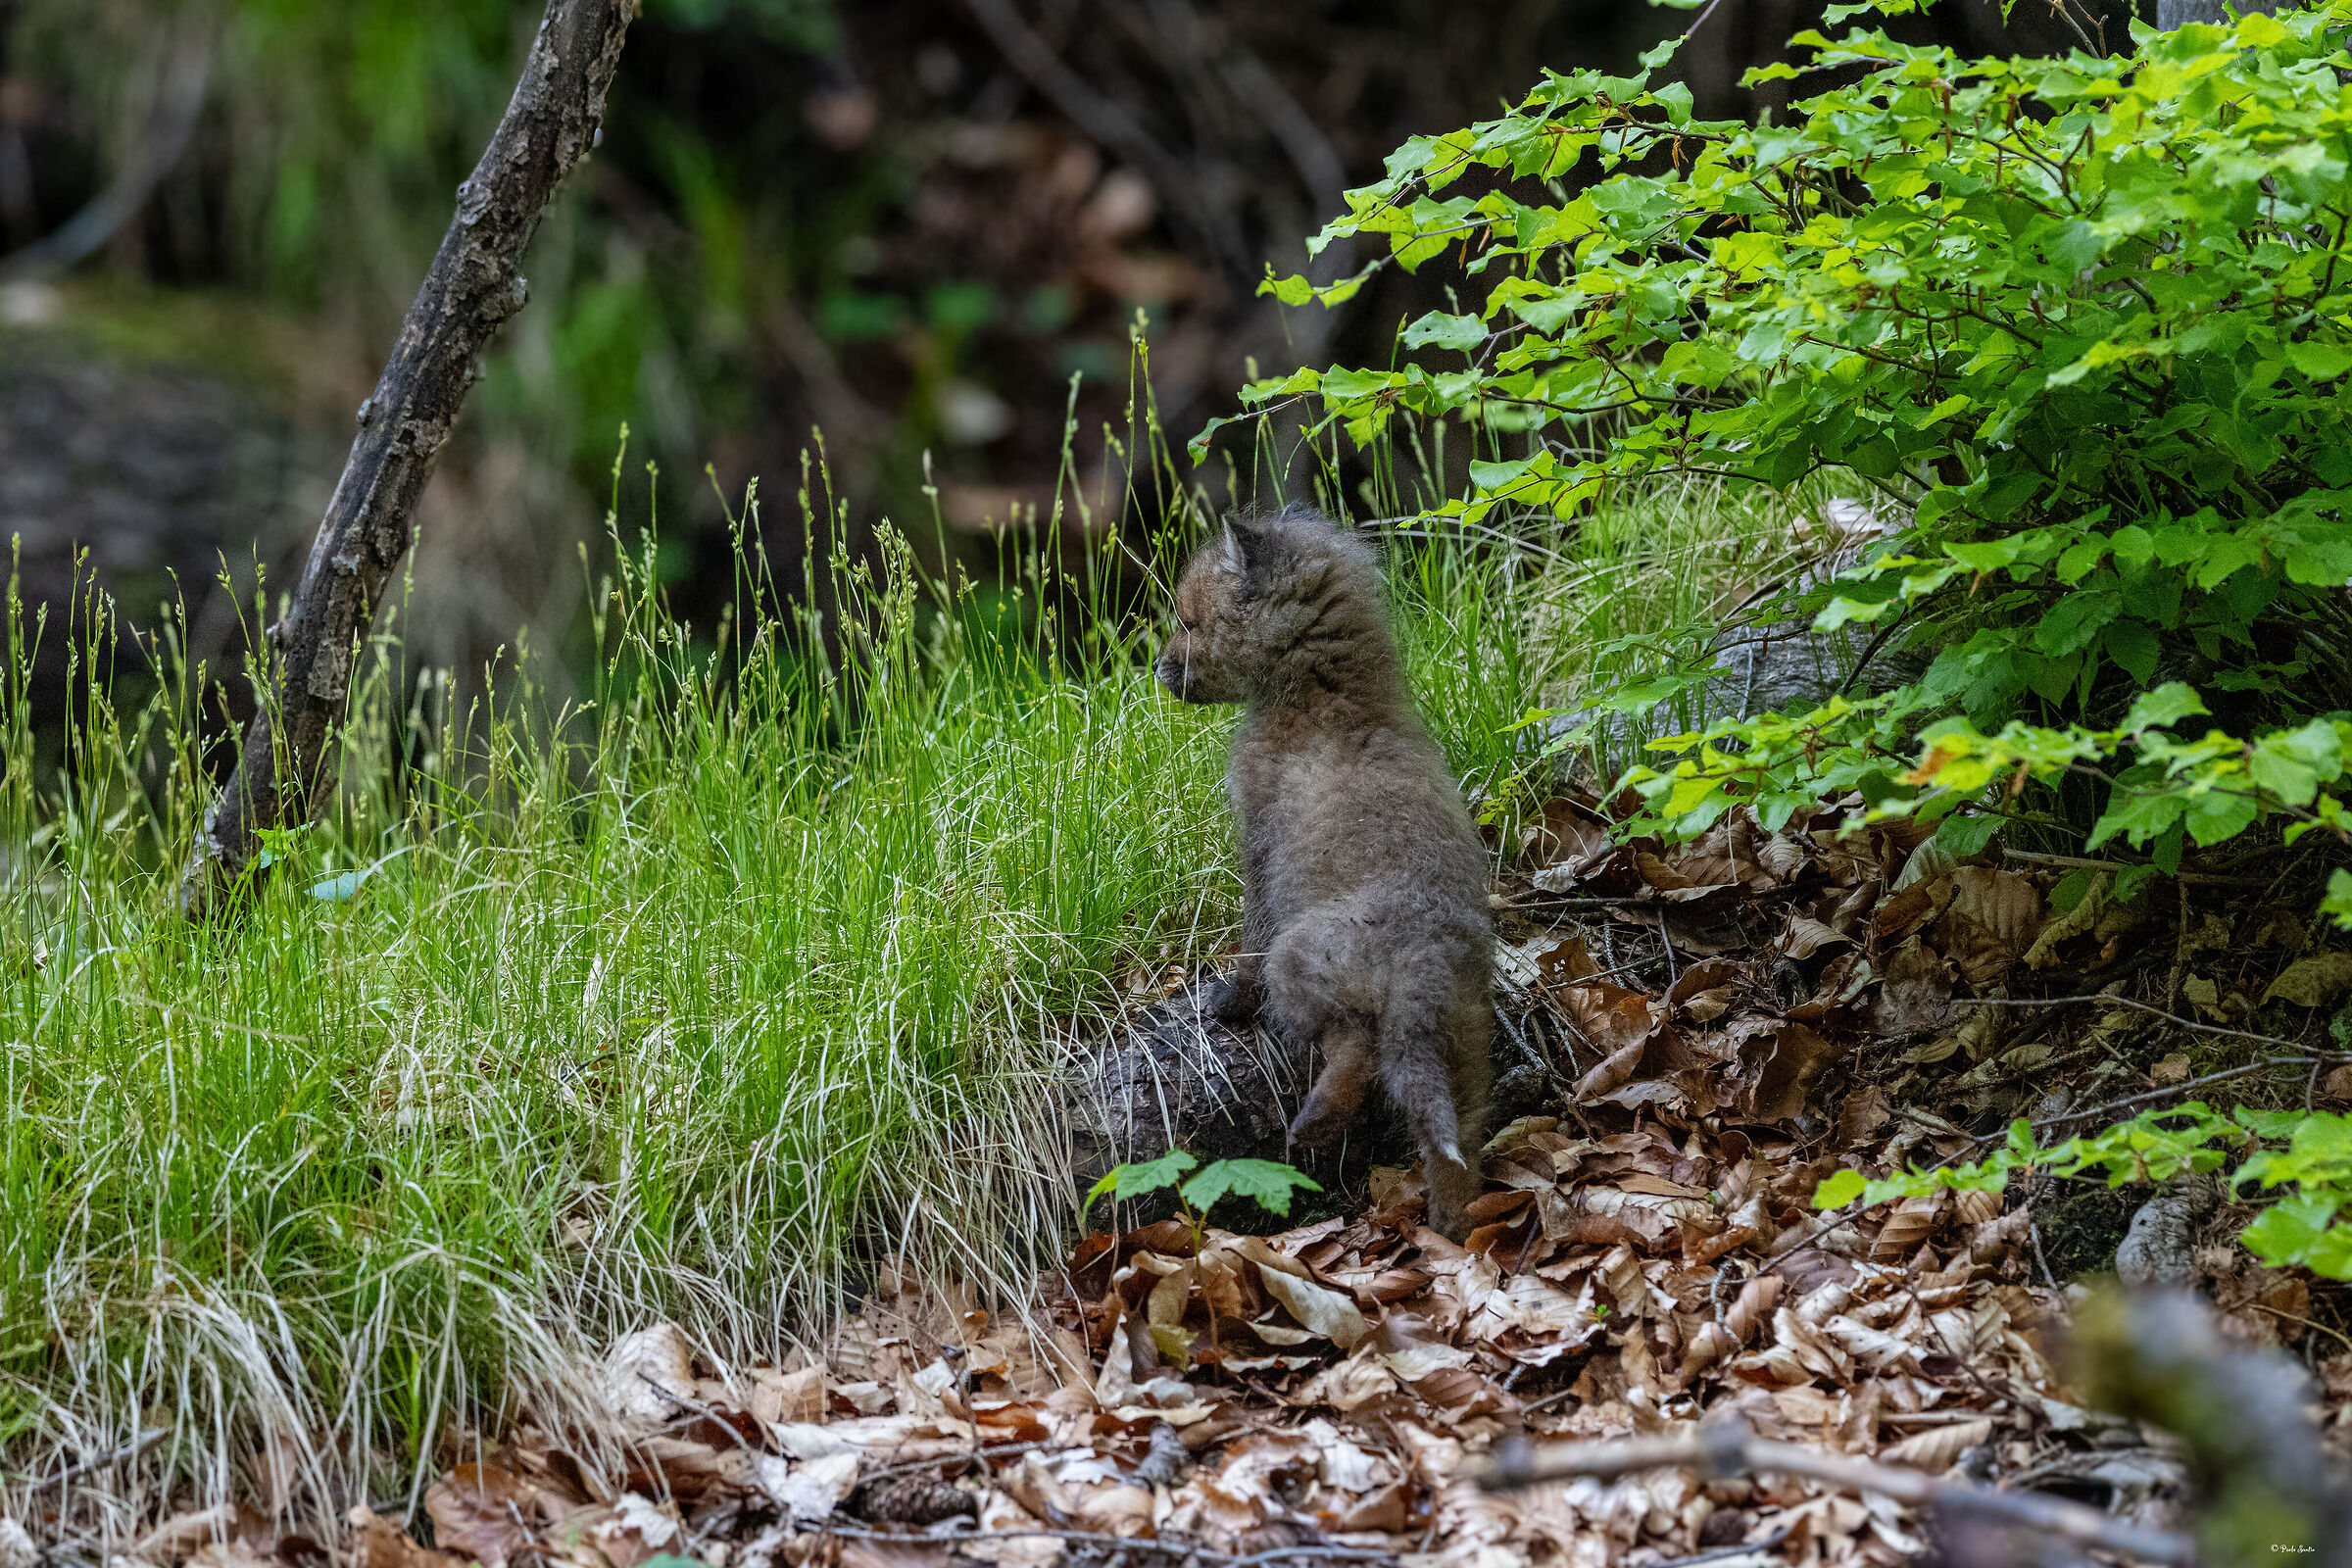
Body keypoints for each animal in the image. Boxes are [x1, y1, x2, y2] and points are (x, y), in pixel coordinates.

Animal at [1153, 504, 1494, 1240]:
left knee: (1355, 1048)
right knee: (1456, 1150)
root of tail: (1427, 949)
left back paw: (1312, 1126)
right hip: (1462, 1056)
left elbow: (1249, 934)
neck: (1329, 692)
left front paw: (1229, 998)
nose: (1158, 668)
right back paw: (1454, 1229)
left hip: (1304, 967)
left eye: (1188, 621)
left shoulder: (1257, 839)